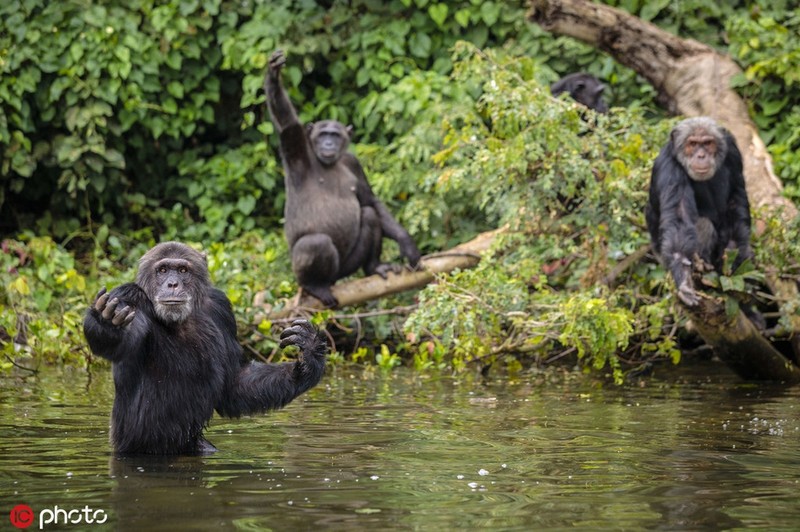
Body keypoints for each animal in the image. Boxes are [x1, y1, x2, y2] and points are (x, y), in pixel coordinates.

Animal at [83, 243, 326, 456]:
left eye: (183, 270)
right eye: (162, 270)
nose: (173, 284)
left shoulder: (221, 306)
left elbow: (234, 384)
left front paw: (308, 356)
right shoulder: (126, 296)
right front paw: (106, 322)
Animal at [266, 51, 422, 308]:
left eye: (335, 135)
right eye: (322, 134)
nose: (328, 143)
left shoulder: (353, 163)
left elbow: (369, 201)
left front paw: (407, 243)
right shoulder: (297, 150)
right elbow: (288, 123)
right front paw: (273, 75)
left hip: (346, 268)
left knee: (369, 216)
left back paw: (373, 267)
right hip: (307, 274)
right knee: (316, 243)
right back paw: (314, 285)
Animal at [648, 116, 752, 308]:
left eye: (708, 143)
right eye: (693, 144)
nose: (701, 155)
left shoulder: (733, 153)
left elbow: (736, 196)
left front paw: (734, 255)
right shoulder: (669, 169)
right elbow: (679, 220)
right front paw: (684, 279)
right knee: (702, 224)